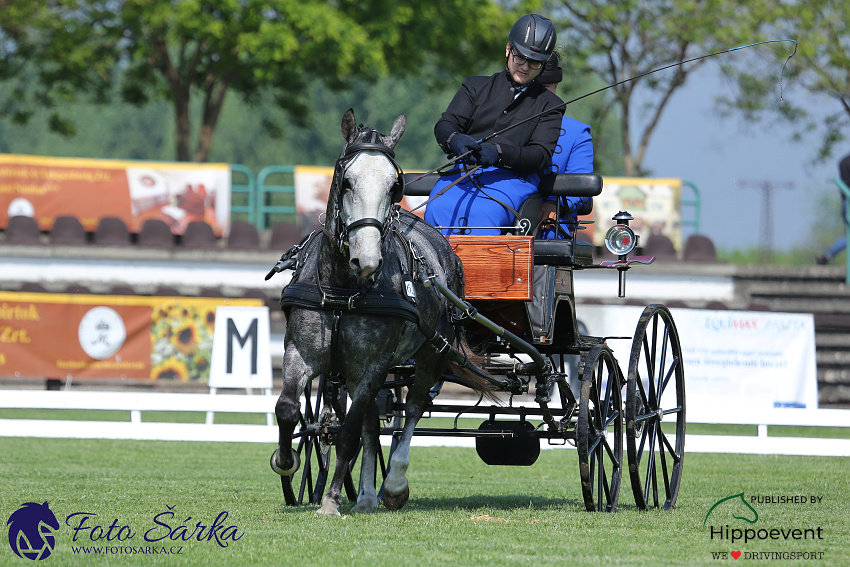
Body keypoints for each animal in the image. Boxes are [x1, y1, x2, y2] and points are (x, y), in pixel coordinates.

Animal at [268, 108, 486, 516]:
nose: (366, 259)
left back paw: (394, 485)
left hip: (430, 352)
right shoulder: (300, 352)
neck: (343, 288)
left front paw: (330, 502)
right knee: (371, 420)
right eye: (346, 180)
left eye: (393, 186)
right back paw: (367, 496)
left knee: (412, 408)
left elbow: (348, 434)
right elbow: (288, 409)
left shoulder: (375, 363)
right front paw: (286, 461)